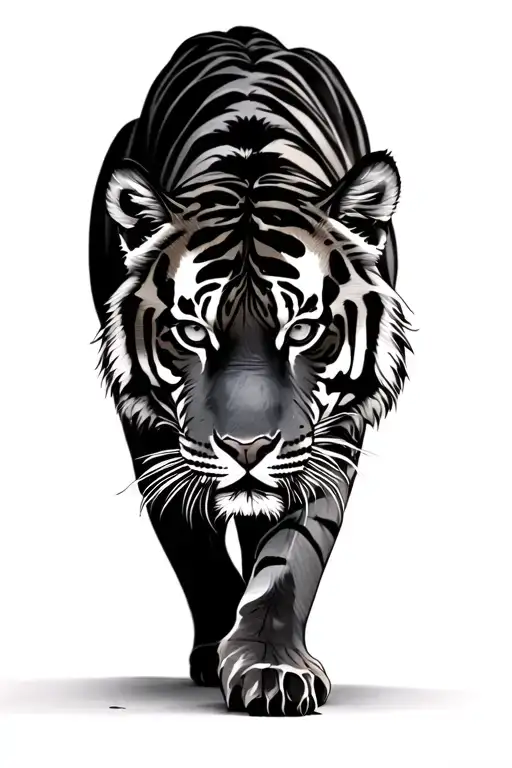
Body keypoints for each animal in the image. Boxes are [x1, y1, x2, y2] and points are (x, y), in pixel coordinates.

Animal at [89, 25, 411, 716]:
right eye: (192, 332)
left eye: (303, 331)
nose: (246, 449)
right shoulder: (148, 430)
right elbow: (191, 540)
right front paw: (217, 653)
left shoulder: (332, 432)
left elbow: (291, 554)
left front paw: (270, 665)